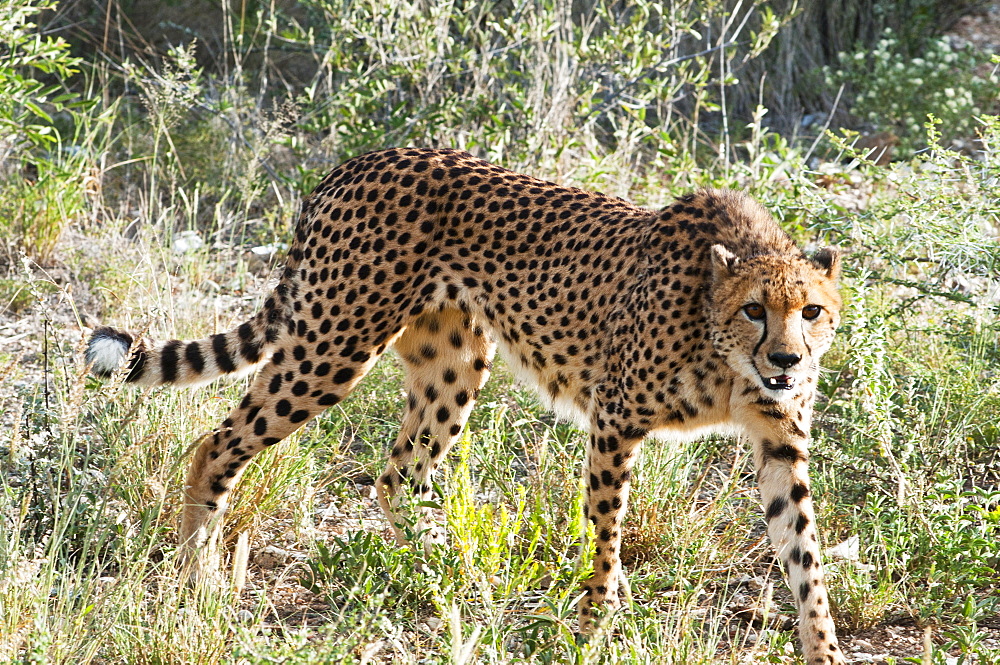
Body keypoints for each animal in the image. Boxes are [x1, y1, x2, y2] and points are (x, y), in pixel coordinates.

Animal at [88, 148, 844, 660]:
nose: (787, 360)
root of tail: (361, 160)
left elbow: (805, 556)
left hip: (451, 362)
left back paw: (442, 573)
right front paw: (595, 625)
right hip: (334, 343)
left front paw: (824, 649)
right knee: (217, 443)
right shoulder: (615, 420)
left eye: (811, 310)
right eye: (754, 310)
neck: (724, 349)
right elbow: (605, 536)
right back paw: (199, 576)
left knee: (398, 474)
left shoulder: (780, 440)